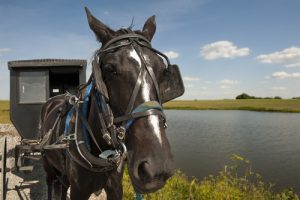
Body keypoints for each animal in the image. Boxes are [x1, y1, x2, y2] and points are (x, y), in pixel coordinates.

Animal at [39, 6, 183, 200]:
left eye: (162, 71)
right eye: (109, 69)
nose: (157, 168)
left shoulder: (115, 188)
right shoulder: (78, 191)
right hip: (47, 163)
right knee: (50, 183)